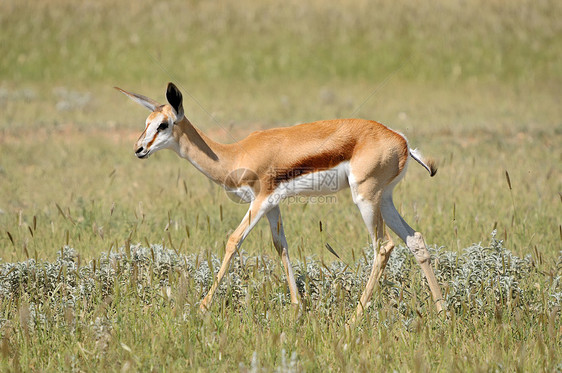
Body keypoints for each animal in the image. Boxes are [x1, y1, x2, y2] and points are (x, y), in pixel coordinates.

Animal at [116, 83, 444, 316]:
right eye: (147, 121)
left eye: (163, 125)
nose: (138, 149)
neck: (234, 155)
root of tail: (401, 140)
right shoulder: (273, 204)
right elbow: (281, 247)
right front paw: (298, 308)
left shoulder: (259, 201)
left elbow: (233, 241)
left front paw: (202, 306)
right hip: (384, 199)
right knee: (415, 240)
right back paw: (442, 311)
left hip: (366, 198)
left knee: (383, 246)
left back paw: (355, 318)